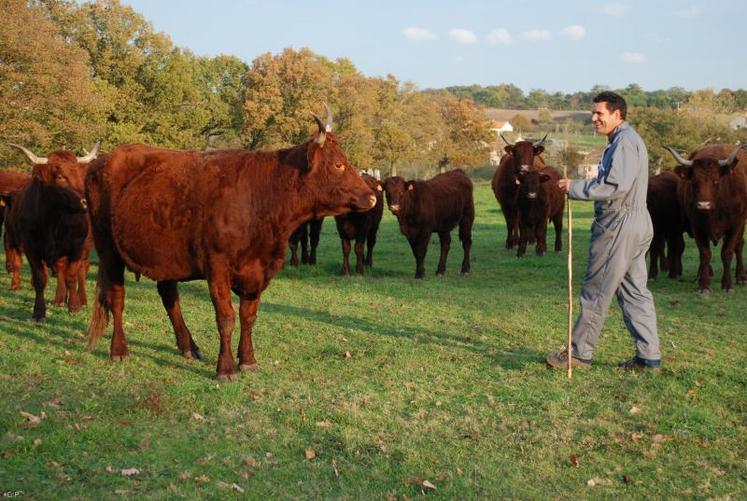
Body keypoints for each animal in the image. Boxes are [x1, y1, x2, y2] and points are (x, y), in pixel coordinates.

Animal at [4, 143, 97, 318]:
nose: (86, 202)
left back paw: (80, 299)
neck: (52, 219)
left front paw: (74, 306)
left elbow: (72, 276)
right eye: (60, 176)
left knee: (81, 271)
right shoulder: (31, 248)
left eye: (80, 174)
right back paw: (60, 299)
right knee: (61, 271)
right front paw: (39, 312)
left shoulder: (77, 247)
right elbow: (41, 278)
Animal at [85, 106, 376, 378]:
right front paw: (225, 368)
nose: (372, 197)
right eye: (338, 164)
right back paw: (119, 350)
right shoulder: (217, 267)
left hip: (164, 255)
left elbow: (249, 317)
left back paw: (188, 346)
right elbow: (226, 318)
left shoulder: (258, 271)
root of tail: (104, 160)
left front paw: (248, 360)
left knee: (169, 297)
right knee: (117, 297)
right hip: (109, 250)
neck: (261, 198)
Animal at [668, 143, 747, 292]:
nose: (703, 205)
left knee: (739, 246)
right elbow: (705, 254)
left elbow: (727, 252)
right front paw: (703, 285)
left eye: (716, 181)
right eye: (694, 182)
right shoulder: (697, 226)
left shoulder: (736, 224)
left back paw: (741, 277)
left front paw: (727, 285)